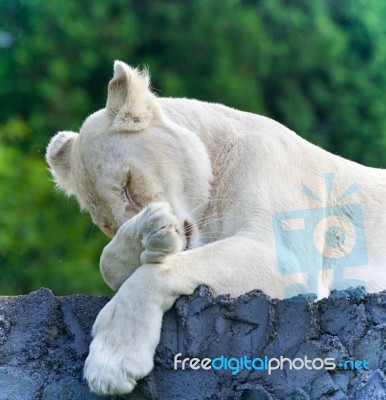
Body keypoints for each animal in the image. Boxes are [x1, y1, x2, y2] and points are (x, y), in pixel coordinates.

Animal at [46, 61, 386, 396]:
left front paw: (111, 364)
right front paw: (146, 237)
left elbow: (152, 275)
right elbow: (109, 262)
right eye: (105, 223)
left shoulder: (290, 257)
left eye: (128, 185)